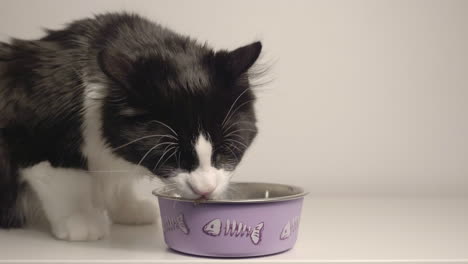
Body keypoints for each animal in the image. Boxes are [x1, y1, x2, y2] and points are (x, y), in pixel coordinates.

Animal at [0, 12, 260, 241]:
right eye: (172, 157)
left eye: (225, 152)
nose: (206, 189)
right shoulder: (37, 141)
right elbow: (65, 181)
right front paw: (80, 219)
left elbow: (117, 183)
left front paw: (127, 208)